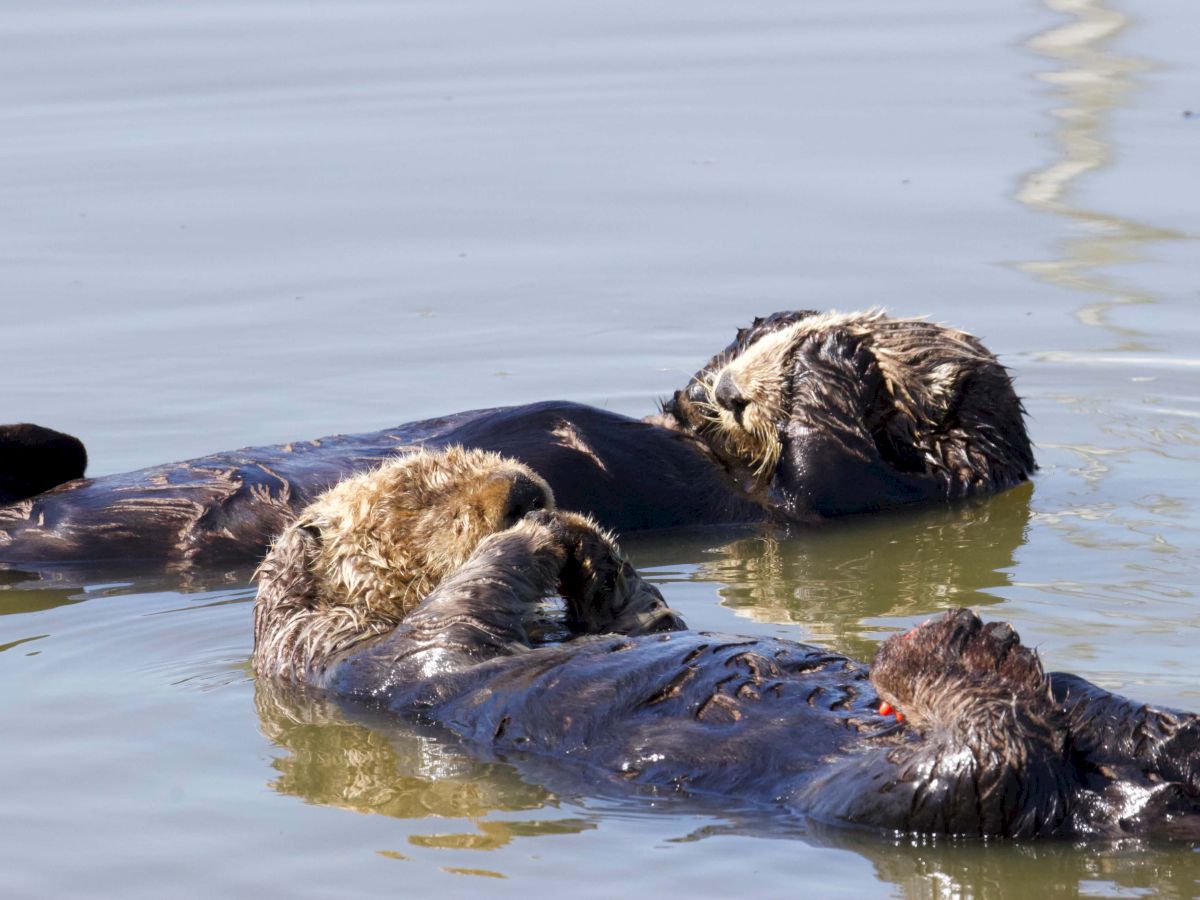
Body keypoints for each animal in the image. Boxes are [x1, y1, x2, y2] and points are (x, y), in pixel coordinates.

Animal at [252, 449, 1198, 839]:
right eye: (417, 494)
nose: (523, 486)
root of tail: (1118, 805)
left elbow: (645, 624)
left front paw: (590, 544)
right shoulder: (356, 655)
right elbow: (448, 621)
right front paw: (540, 534)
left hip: (1096, 727)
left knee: (1105, 719)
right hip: (881, 797)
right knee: (995, 752)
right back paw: (950, 648)